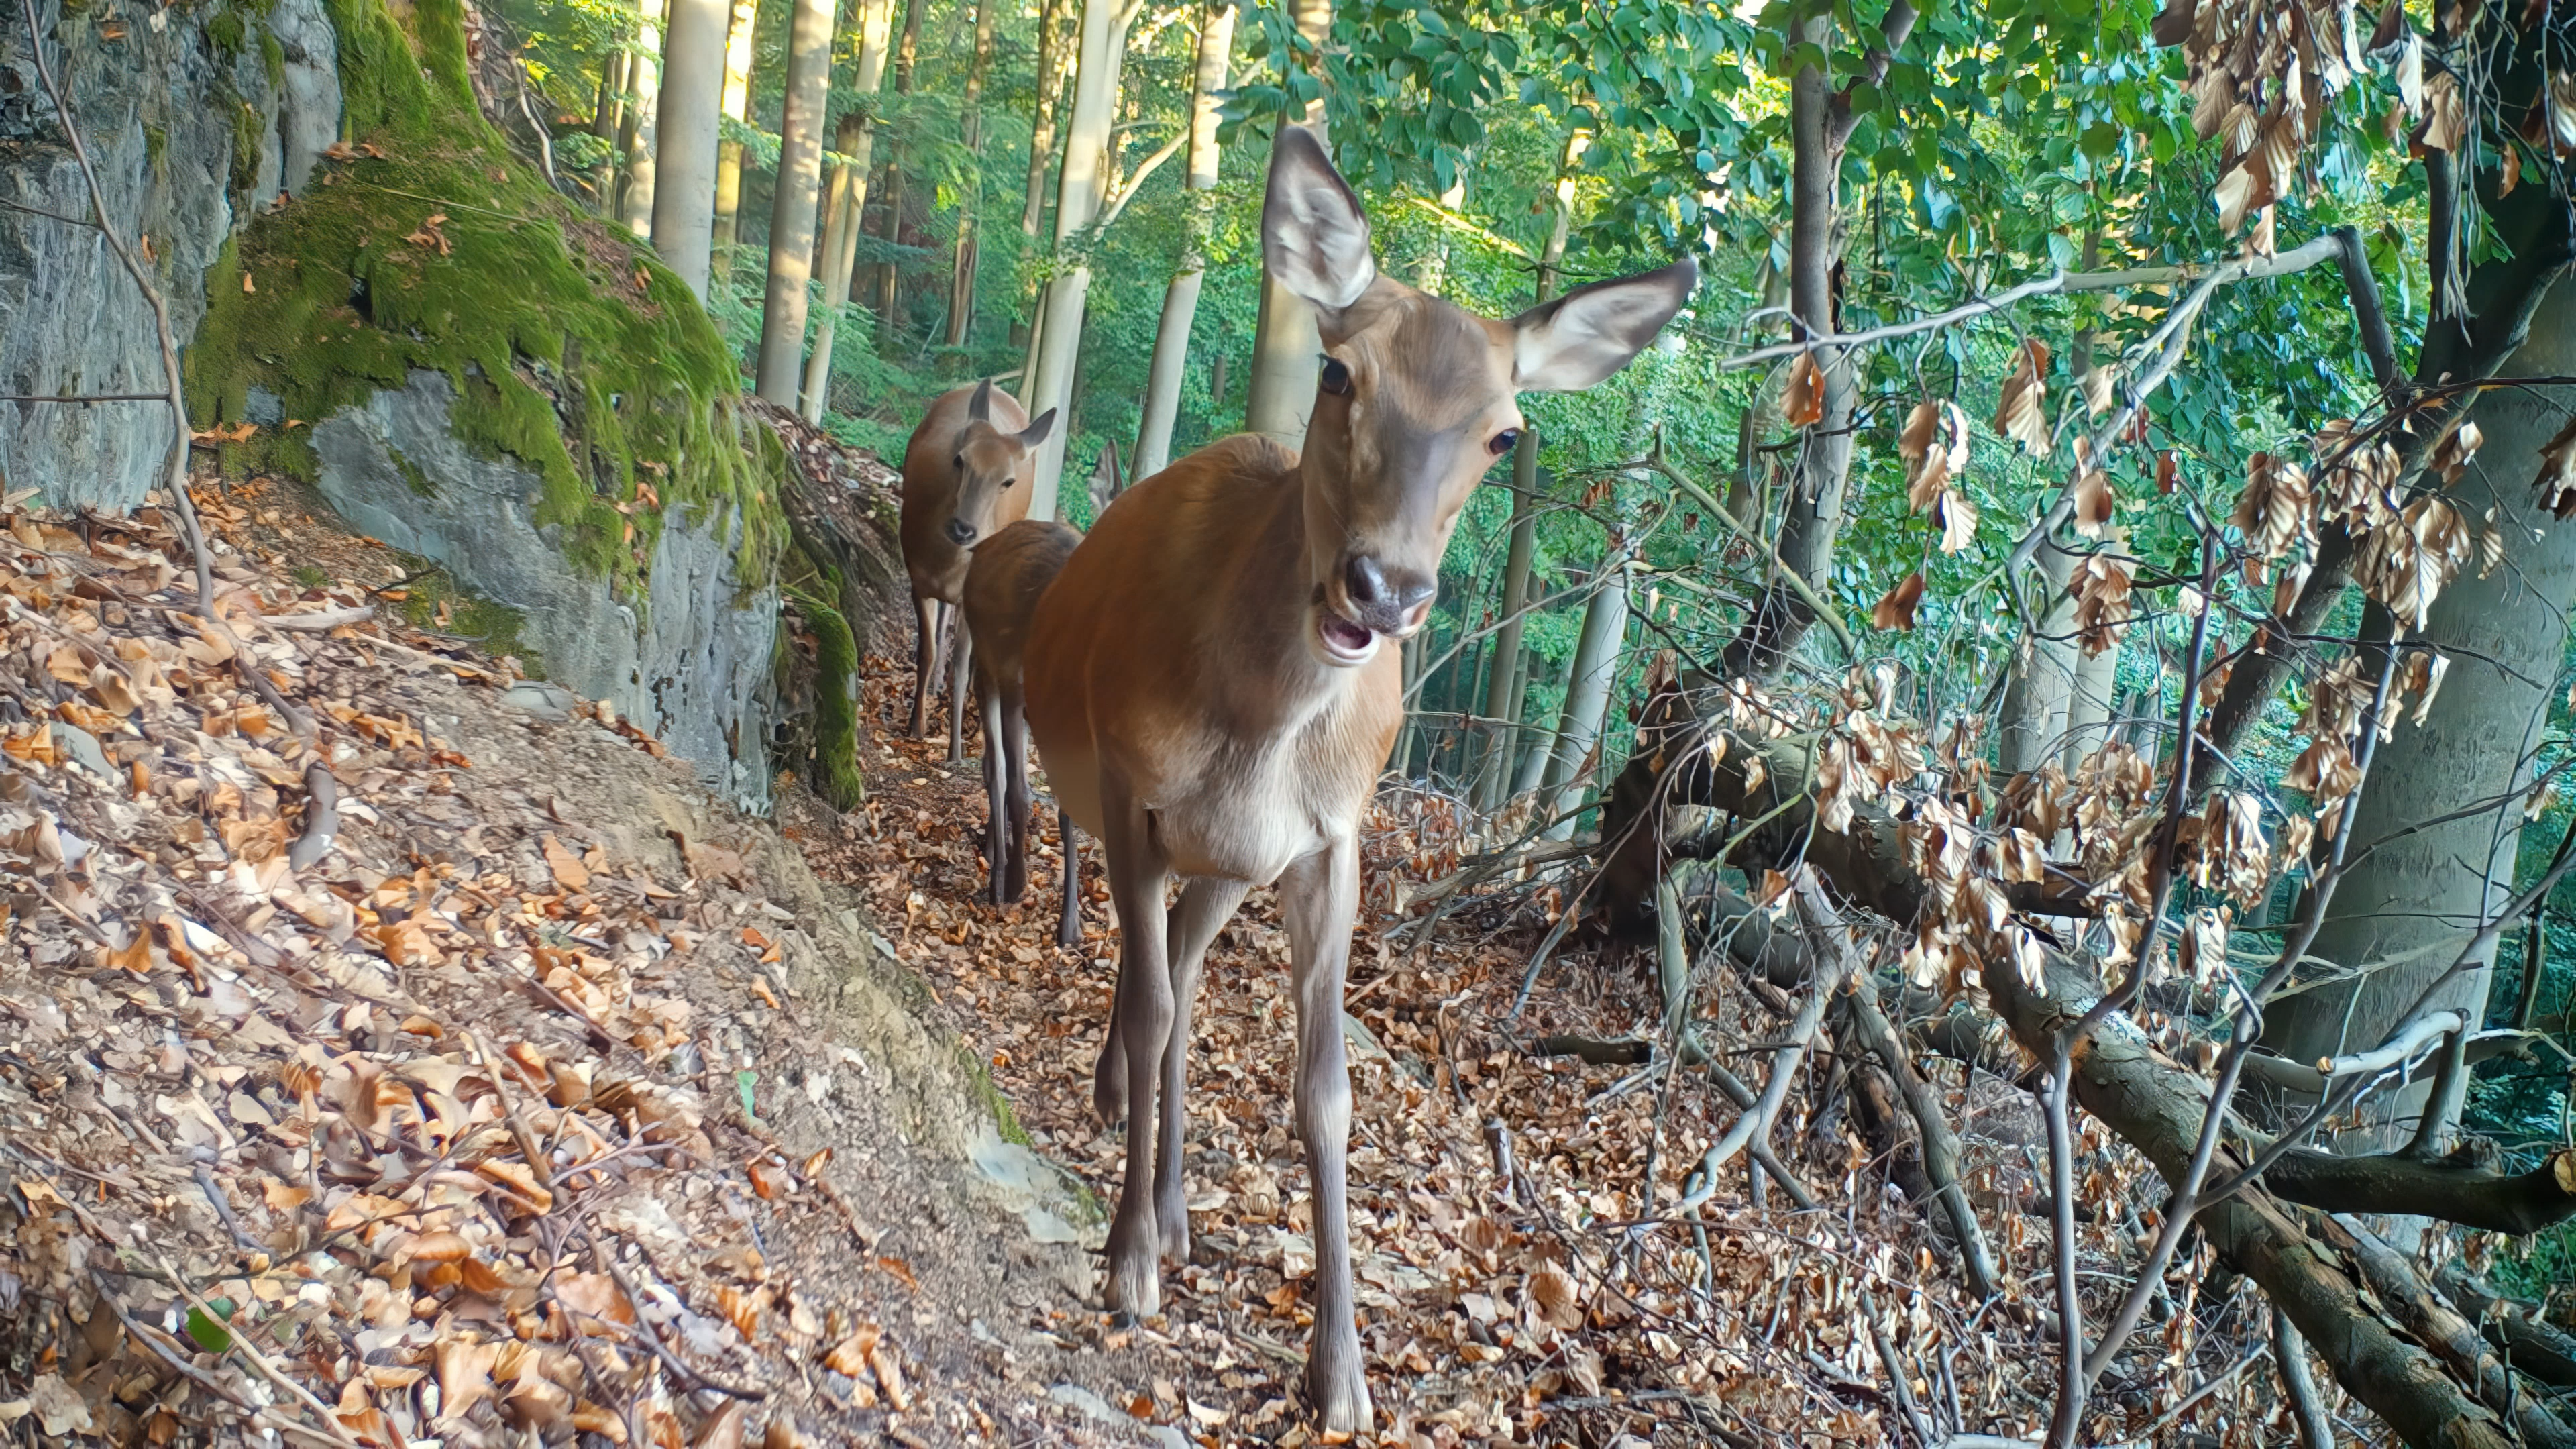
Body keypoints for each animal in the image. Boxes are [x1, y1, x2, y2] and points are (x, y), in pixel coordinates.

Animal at [902, 378, 1051, 763]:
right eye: (959, 460)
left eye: (1008, 481)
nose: (964, 529)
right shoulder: (915, 578)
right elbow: (927, 651)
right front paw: (916, 725)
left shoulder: (970, 595)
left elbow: (962, 661)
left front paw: (955, 749)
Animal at [968, 518, 1087, 949]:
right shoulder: (1012, 689)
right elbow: (1017, 788)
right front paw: (1013, 883)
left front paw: (1070, 925)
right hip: (986, 669)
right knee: (995, 768)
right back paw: (998, 867)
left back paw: (993, 845)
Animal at [1014, 121, 1700, 1423]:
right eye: (1339, 375)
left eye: (1506, 432)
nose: (1386, 589)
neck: (1255, 731)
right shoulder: (1132, 787)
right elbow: (1154, 1003)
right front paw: (1126, 1269)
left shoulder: (1331, 842)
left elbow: (1325, 1087)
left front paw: (1340, 1375)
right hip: (1149, 823)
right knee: (1155, 987)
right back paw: (1131, 1155)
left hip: (1233, 865)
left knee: (1180, 977)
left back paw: (1176, 1206)